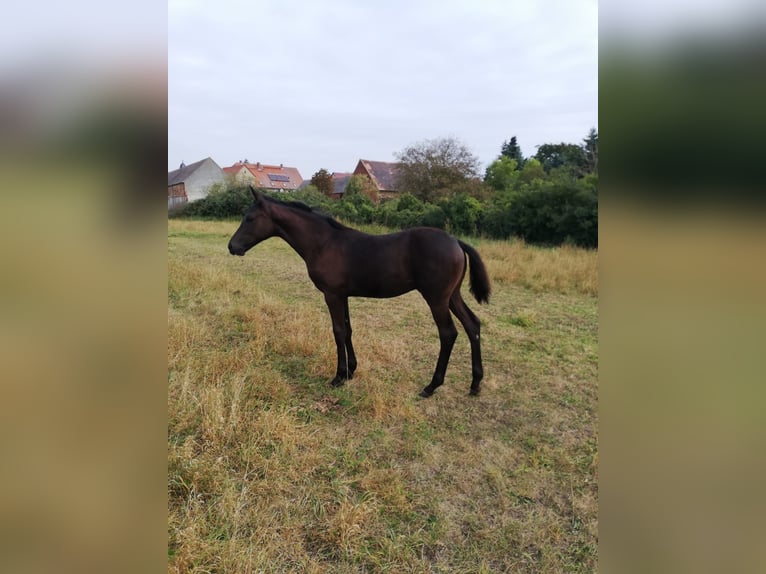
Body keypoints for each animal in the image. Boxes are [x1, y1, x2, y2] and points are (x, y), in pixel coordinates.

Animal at [228, 187, 492, 398]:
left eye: (250, 218)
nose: (232, 246)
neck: (324, 243)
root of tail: (456, 241)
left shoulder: (332, 295)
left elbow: (337, 331)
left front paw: (338, 376)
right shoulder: (342, 295)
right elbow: (348, 330)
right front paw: (351, 371)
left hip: (436, 298)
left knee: (448, 334)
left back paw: (432, 386)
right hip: (452, 296)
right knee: (473, 325)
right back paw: (475, 384)